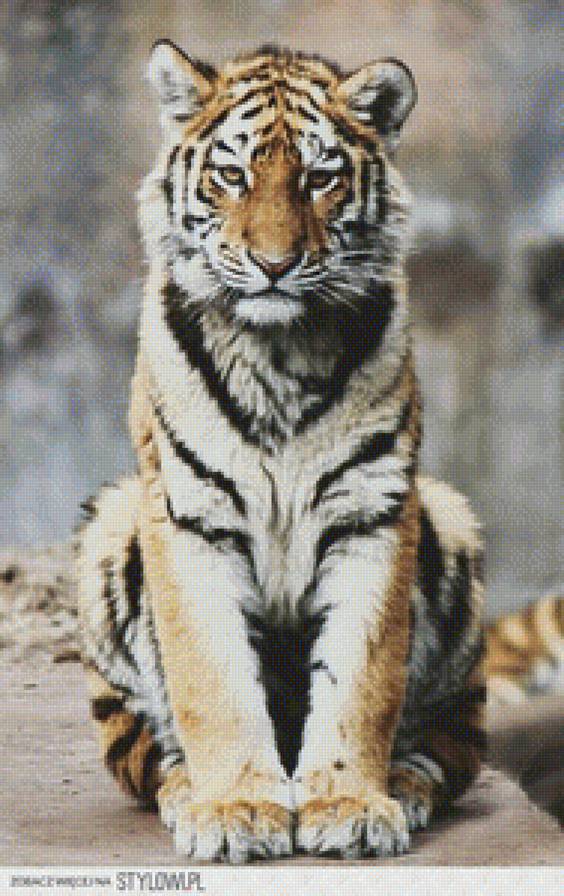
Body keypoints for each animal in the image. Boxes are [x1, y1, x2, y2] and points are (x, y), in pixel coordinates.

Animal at [76, 41, 487, 862]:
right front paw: (235, 808)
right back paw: (186, 793)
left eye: (319, 178)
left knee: (453, 746)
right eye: (232, 175)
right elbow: (213, 682)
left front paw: (351, 803)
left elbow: (362, 680)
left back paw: (405, 787)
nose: (272, 264)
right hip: (110, 524)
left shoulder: (372, 511)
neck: (278, 353)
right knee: (147, 750)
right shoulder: (189, 517)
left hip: (448, 519)